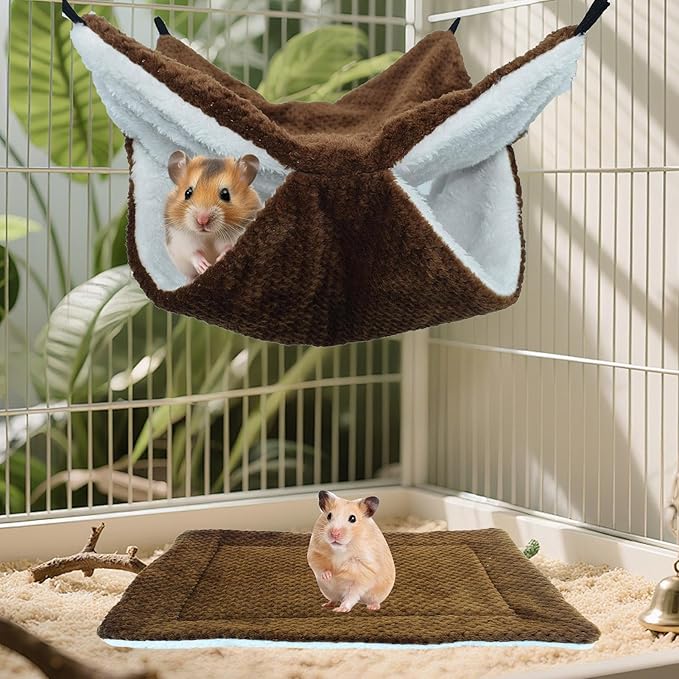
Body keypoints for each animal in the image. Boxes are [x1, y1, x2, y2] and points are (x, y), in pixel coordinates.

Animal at [164, 150, 262, 281]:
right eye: (188, 193)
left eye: (225, 194)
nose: (202, 220)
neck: (209, 235)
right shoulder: (180, 239)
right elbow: (193, 253)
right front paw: (204, 266)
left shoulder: (238, 233)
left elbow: (228, 246)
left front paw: (219, 259)